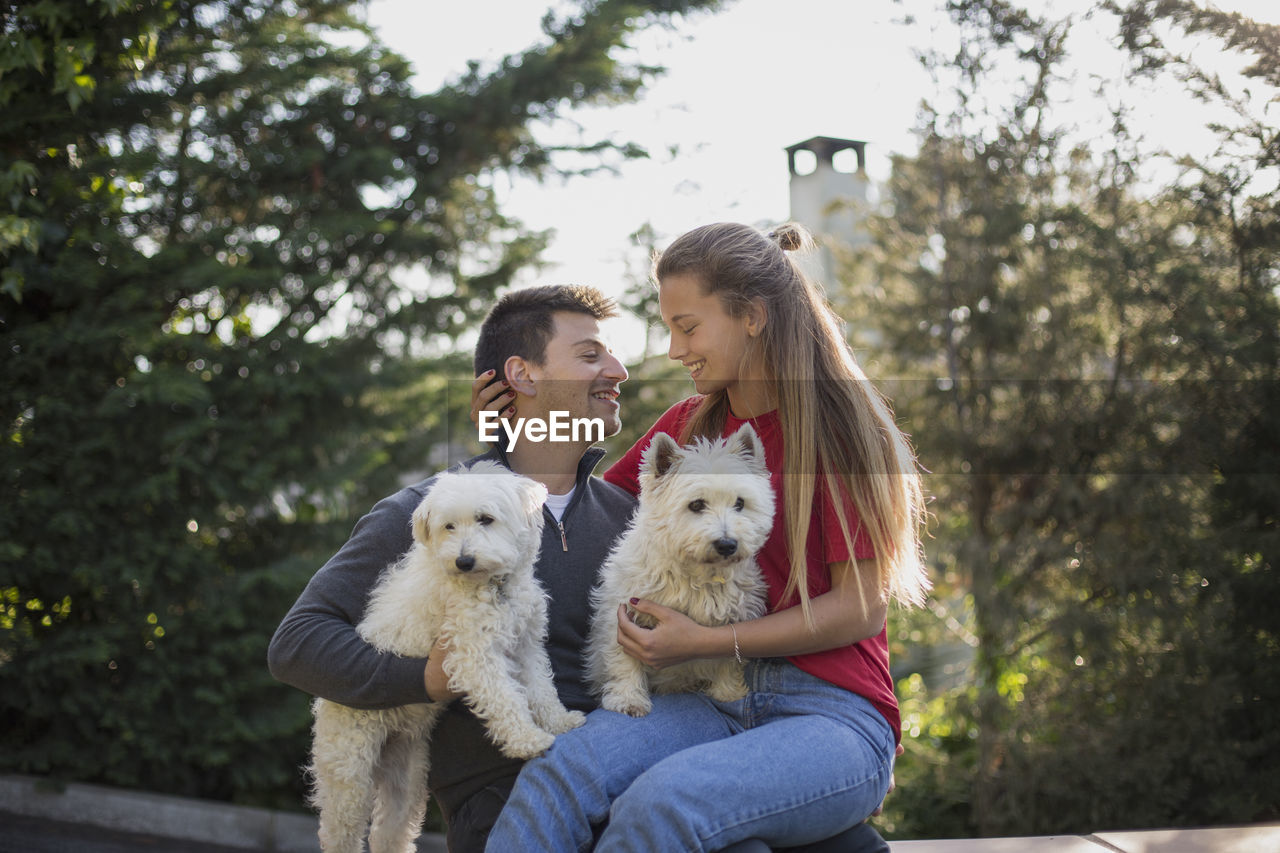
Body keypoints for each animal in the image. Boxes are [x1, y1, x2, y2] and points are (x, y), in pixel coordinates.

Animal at [307, 458, 586, 850]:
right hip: (350, 776)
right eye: (448, 526)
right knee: (339, 834)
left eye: (486, 518)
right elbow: (507, 700)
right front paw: (526, 740)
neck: (492, 585)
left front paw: (559, 722)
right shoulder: (475, 655)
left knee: (388, 833)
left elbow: (542, 690)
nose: (463, 560)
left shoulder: (526, 647)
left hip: (406, 779)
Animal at [586, 422, 773, 712]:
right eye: (696, 504)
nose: (727, 544)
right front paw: (628, 699)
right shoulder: (621, 612)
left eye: (740, 503)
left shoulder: (734, 615)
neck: (697, 572)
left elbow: (729, 657)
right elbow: (623, 657)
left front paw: (728, 693)